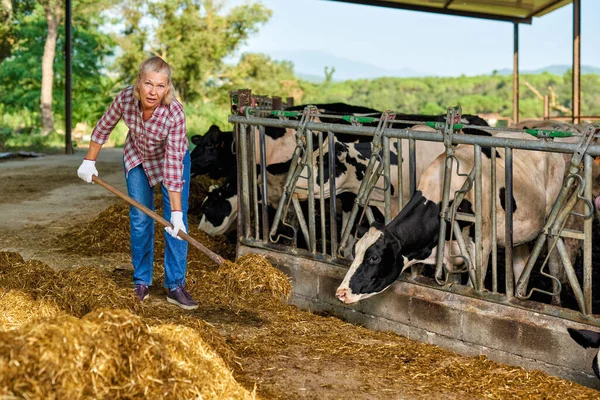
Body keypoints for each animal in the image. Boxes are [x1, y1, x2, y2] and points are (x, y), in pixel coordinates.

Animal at [338, 130, 568, 304]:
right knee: (520, 265)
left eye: (374, 258)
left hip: (554, 222)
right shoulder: (450, 256)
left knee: (556, 263)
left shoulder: (480, 249)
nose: (340, 292)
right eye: (355, 251)